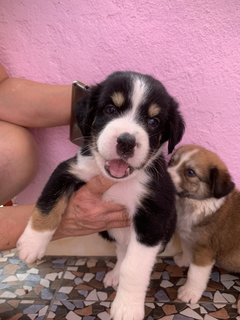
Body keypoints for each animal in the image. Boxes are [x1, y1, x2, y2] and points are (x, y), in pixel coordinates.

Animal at [17, 70, 185, 320]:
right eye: (110, 109)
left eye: (153, 122)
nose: (126, 141)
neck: (118, 182)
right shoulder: (69, 169)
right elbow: (47, 203)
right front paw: (31, 244)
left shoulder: (153, 214)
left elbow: (135, 268)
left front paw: (127, 307)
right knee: (121, 249)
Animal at [167, 144, 240, 304]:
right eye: (172, 162)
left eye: (190, 172)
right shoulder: (188, 238)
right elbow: (187, 251)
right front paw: (183, 260)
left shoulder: (204, 250)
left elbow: (195, 274)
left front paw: (189, 292)